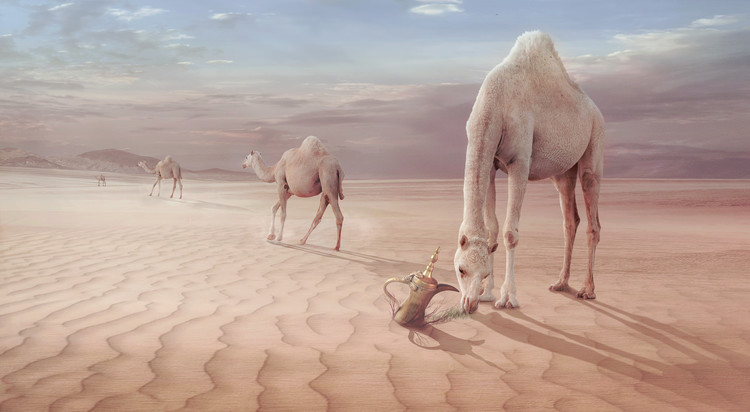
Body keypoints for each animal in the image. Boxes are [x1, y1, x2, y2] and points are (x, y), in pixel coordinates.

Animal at [454, 31, 604, 314]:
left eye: (483, 273)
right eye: (461, 269)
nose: (470, 305)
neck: (495, 104)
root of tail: (596, 109)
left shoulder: (520, 162)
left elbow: (510, 233)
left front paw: (507, 298)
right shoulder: (491, 164)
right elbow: (492, 228)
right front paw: (488, 293)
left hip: (595, 142)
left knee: (593, 219)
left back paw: (587, 289)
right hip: (563, 172)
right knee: (570, 220)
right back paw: (560, 283)